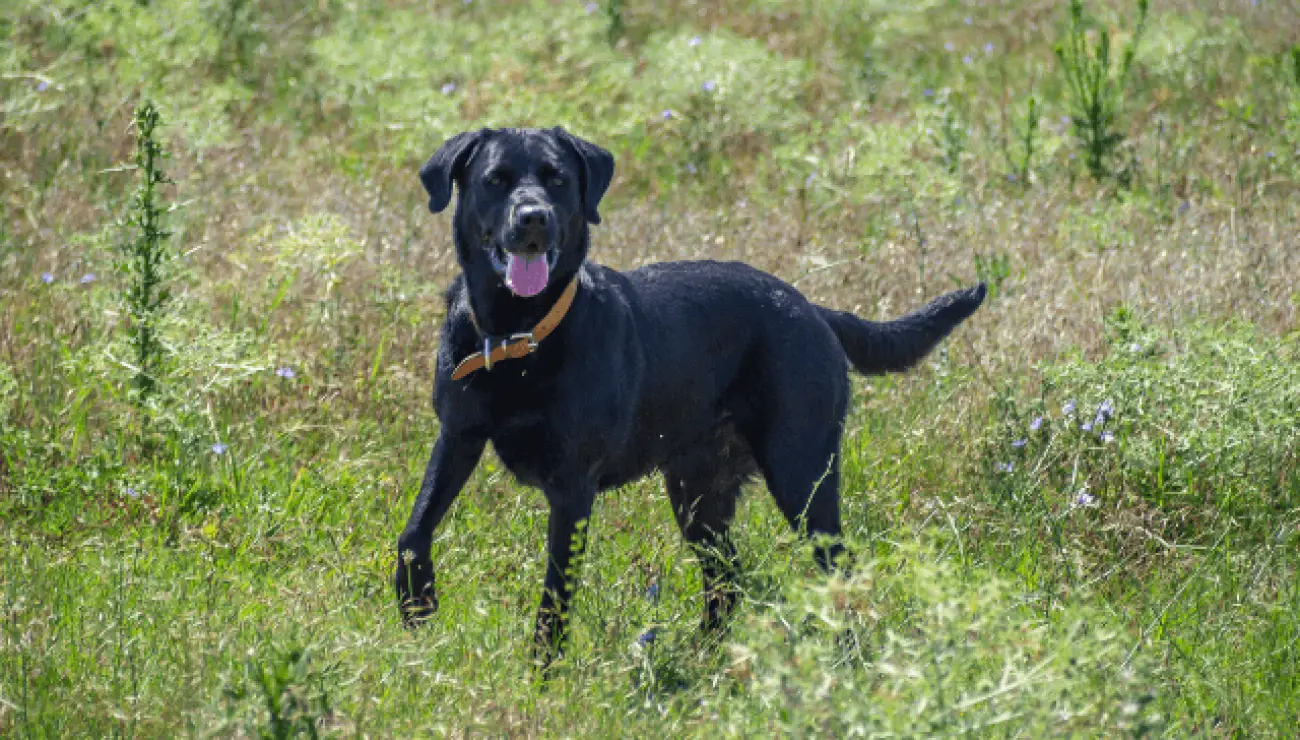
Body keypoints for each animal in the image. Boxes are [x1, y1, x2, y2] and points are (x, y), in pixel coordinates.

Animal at [395, 126, 982, 663]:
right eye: (495, 180)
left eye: (556, 179)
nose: (533, 218)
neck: (518, 334)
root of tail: (814, 309)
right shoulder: (458, 436)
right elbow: (414, 532)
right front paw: (417, 606)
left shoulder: (572, 489)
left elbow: (554, 595)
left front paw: (543, 674)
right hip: (699, 493)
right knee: (728, 579)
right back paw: (704, 656)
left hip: (801, 474)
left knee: (838, 567)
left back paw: (844, 659)